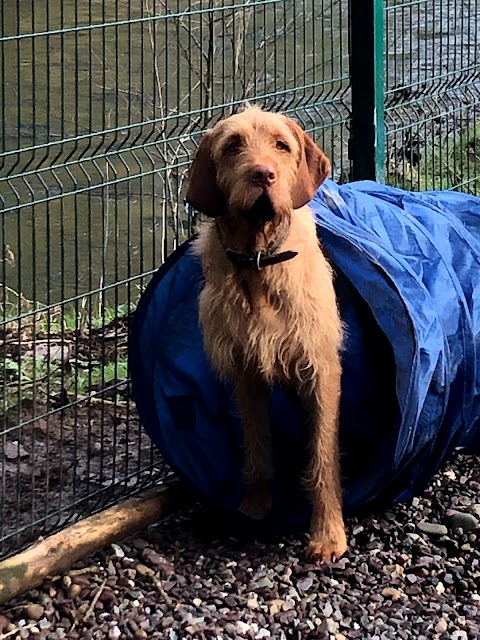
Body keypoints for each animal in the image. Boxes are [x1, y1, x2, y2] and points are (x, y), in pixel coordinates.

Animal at [186, 107, 346, 564]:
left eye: (281, 145)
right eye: (233, 146)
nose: (263, 174)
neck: (259, 263)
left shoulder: (321, 370)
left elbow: (322, 457)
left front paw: (328, 534)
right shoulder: (246, 372)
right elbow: (256, 448)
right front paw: (253, 508)